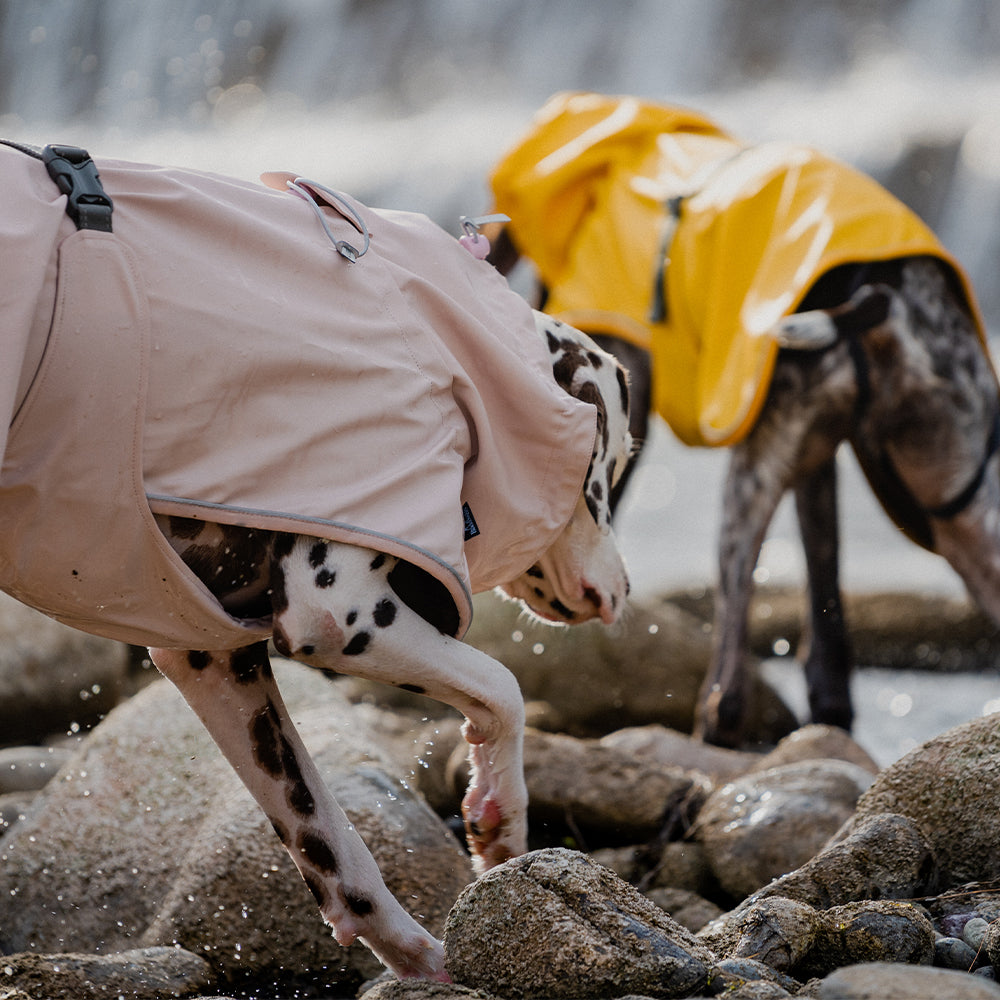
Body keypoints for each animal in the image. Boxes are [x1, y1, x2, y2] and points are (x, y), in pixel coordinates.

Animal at [149, 314, 628, 984]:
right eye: (616, 464)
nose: (623, 593)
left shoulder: (216, 661)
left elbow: (330, 841)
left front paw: (420, 959)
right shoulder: (340, 612)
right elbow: (504, 690)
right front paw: (500, 821)